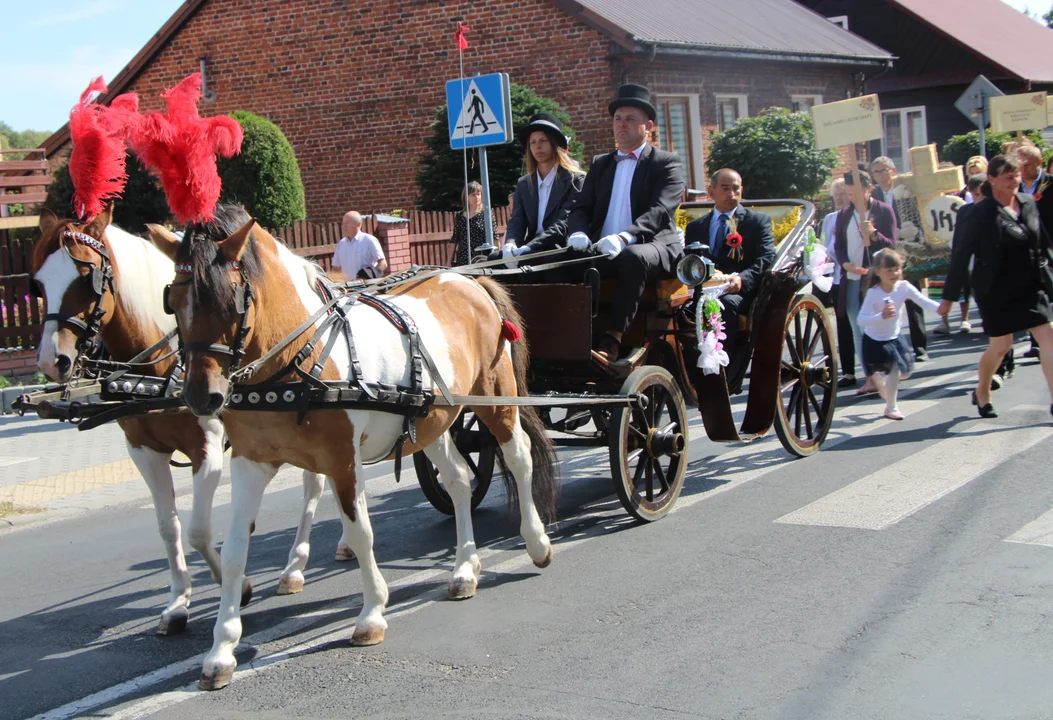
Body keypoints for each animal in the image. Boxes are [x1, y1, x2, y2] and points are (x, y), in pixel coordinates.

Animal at [30, 206, 345, 635]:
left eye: (86, 277)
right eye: (38, 284)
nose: (52, 360)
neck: (161, 371)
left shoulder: (207, 447)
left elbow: (198, 530)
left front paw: (238, 586)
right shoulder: (143, 450)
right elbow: (169, 527)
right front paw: (178, 603)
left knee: (316, 484)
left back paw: (298, 565)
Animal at [153, 204, 560, 690]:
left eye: (231, 299)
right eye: (173, 301)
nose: (201, 397)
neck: (297, 358)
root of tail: (469, 280)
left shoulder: (341, 460)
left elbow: (360, 531)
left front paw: (371, 614)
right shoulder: (250, 463)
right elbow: (234, 551)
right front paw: (221, 650)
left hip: (497, 399)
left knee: (517, 458)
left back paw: (536, 542)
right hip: (434, 422)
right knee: (460, 480)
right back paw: (465, 569)